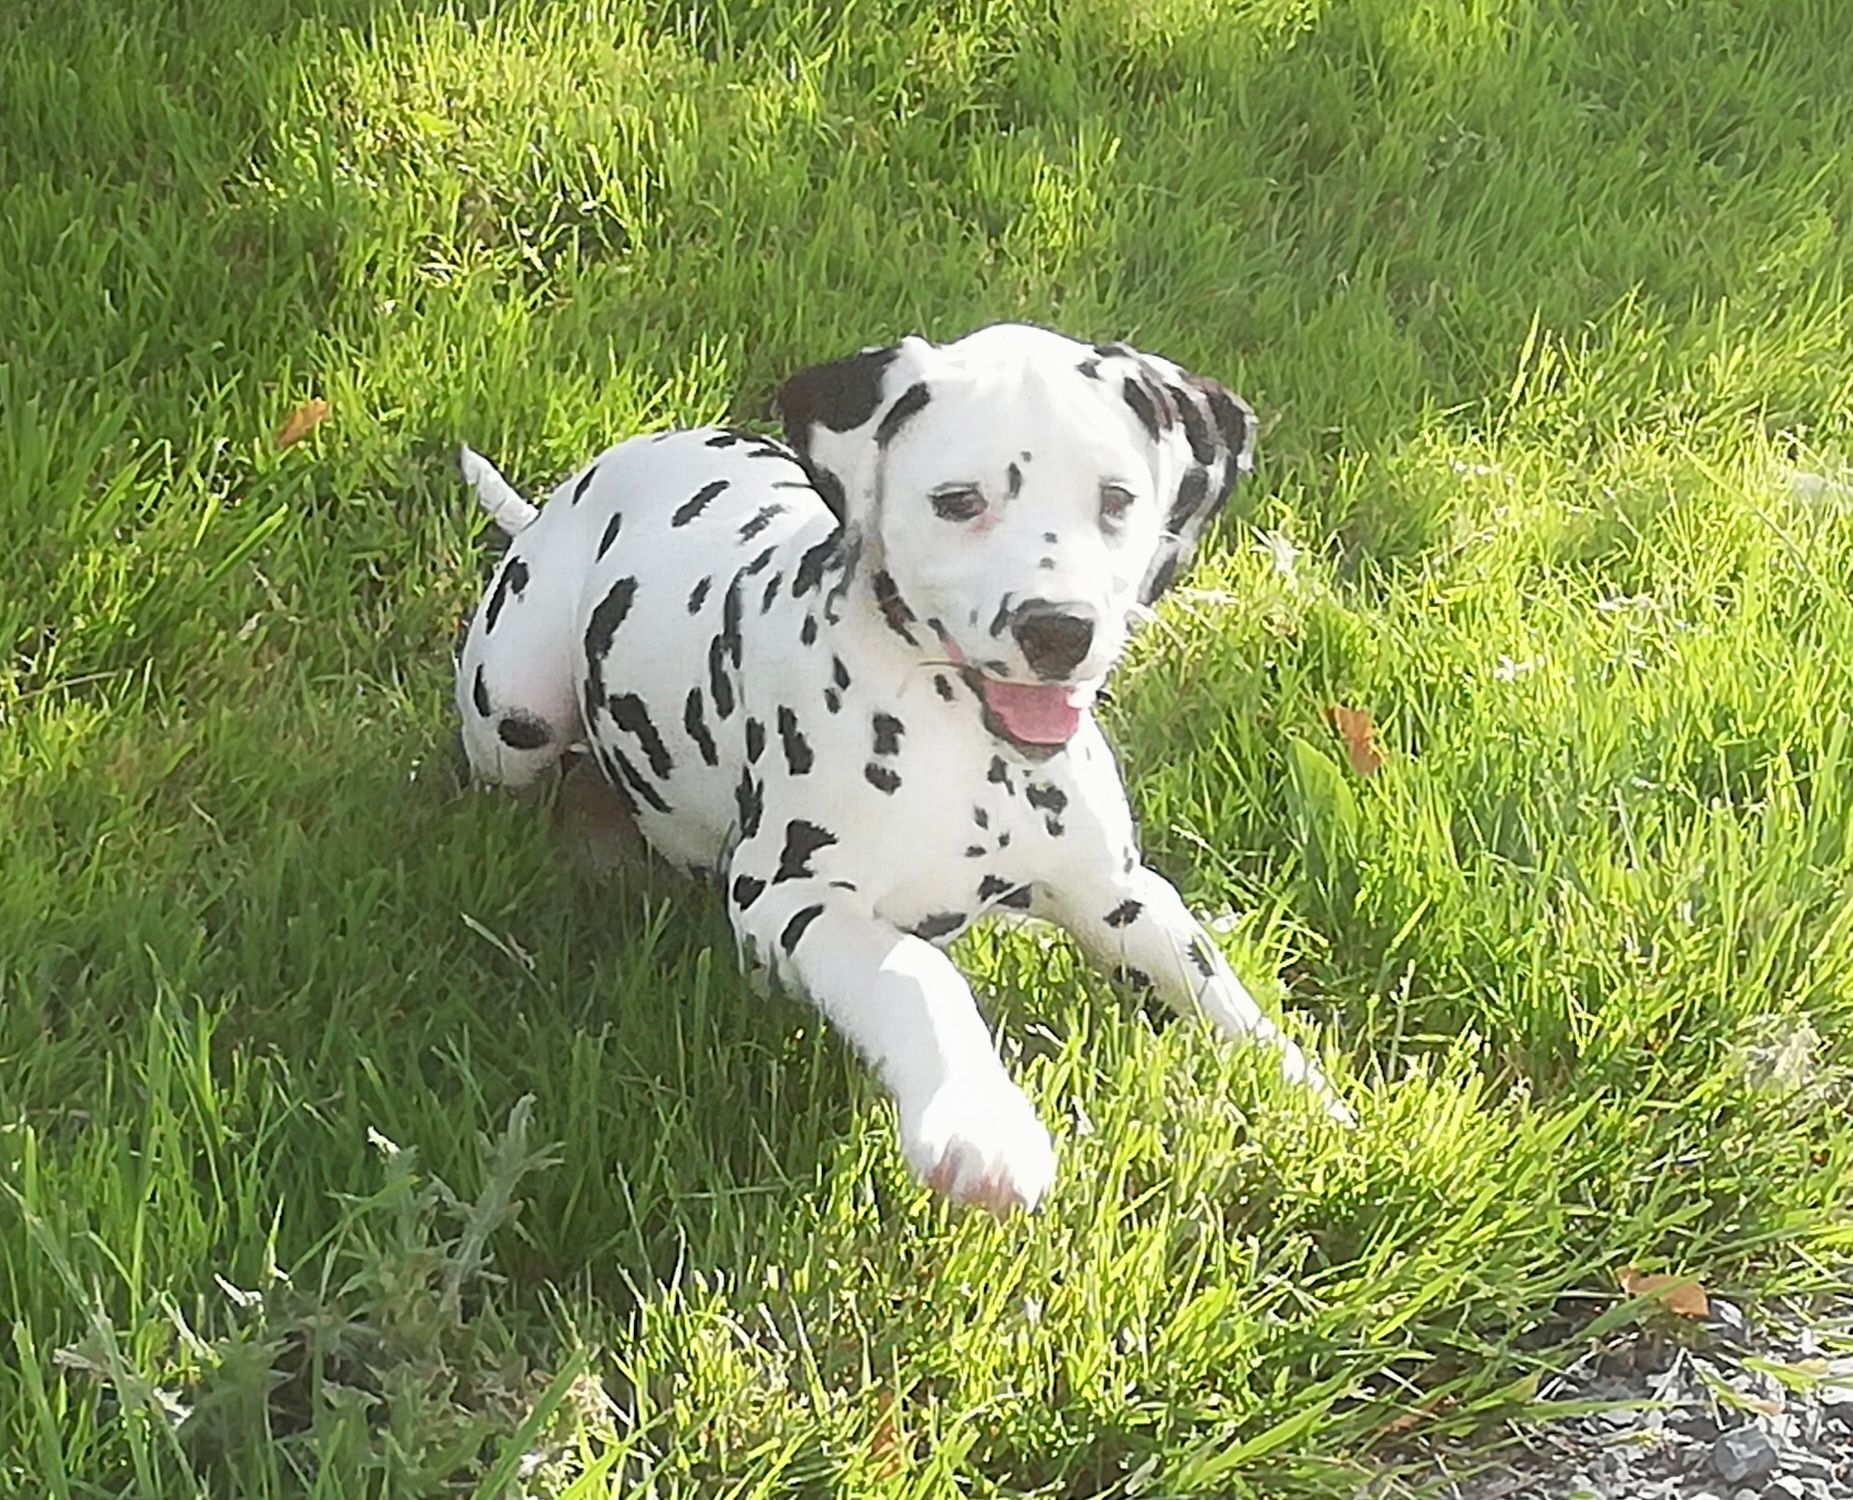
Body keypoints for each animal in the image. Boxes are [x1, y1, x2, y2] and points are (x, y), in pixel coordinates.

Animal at [448, 322, 1348, 1208]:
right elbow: (917, 978)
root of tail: (574, 491)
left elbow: (1218, 995)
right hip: (517, 709)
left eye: (1117, 500)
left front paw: (1310, 1102)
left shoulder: (1119, 893)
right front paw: (981, 1125)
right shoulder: (789, 894)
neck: (970, 749)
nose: (1060, 630)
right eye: (958, 502)